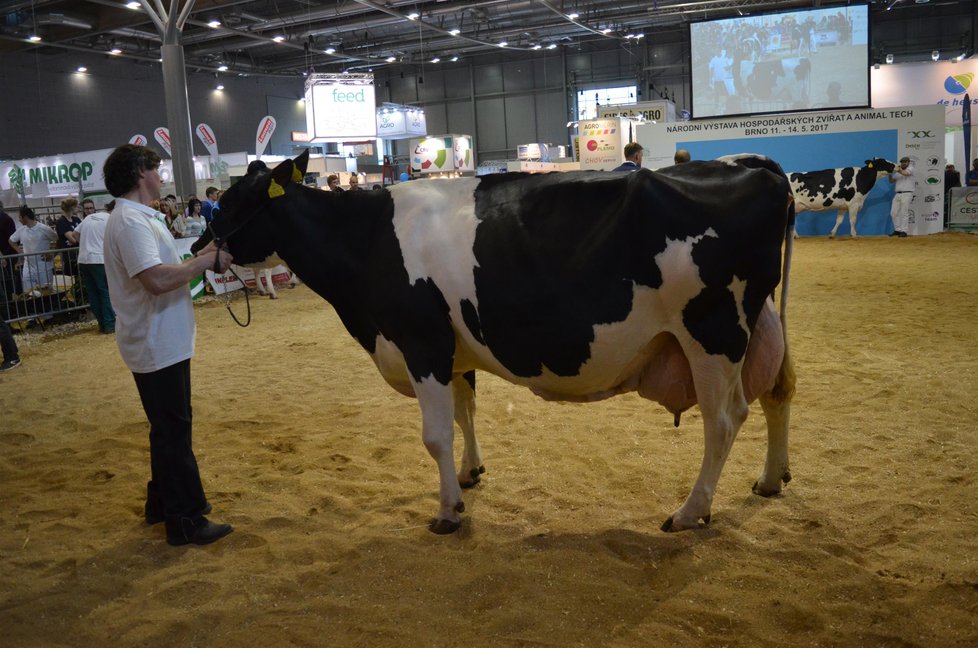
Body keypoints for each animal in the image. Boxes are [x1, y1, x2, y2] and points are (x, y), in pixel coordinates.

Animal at [196, 151, 792, 532]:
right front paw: (470, 475)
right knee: (778, 391)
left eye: (228, 202)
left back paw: (691, 512)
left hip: (712, 330)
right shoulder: (455, 351)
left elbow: (435, 434)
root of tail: (752, 165)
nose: (200, 249)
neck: (365, 240)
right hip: (758, 322)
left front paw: (446, 511)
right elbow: (465, 414)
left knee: (723, 419)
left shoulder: (421, 343)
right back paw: (770, 480)